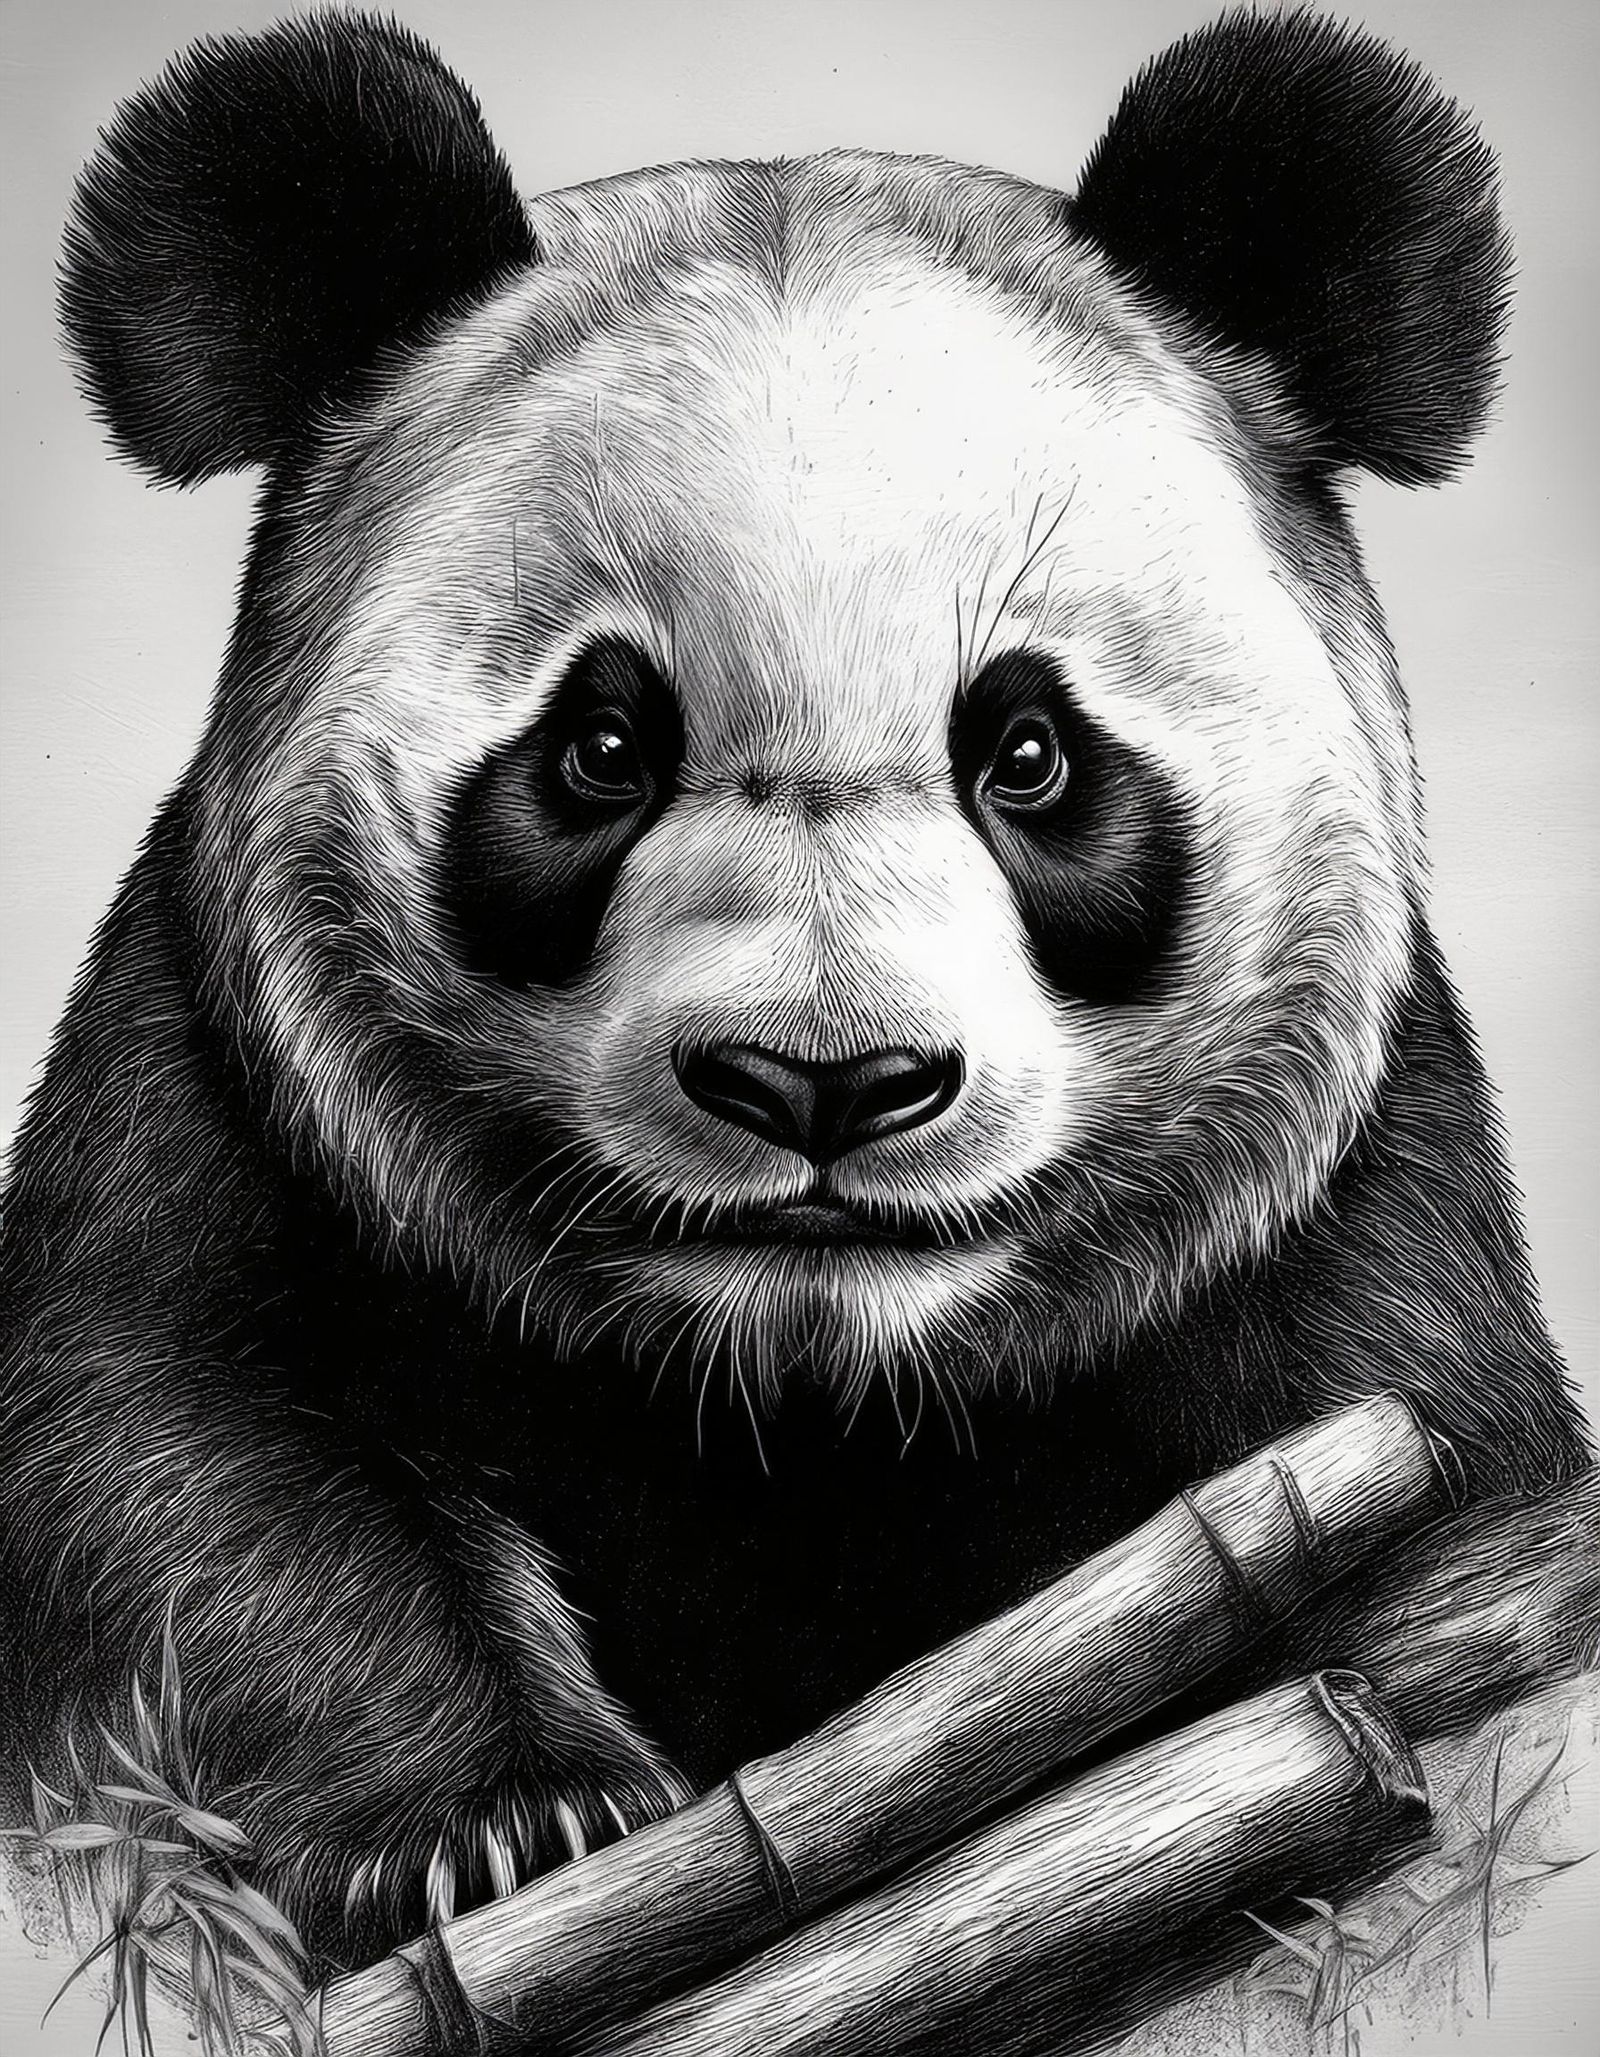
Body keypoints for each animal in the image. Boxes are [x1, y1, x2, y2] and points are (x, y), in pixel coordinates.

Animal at [1, 4, 1593, 1978]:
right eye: (599, 747)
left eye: (1031, 754)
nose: (823, 1083)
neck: (802, 1388)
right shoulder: (209, 1094)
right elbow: (168, 1464)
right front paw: (500, 1832)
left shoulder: (1355, 1211)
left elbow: (1441, 1507)